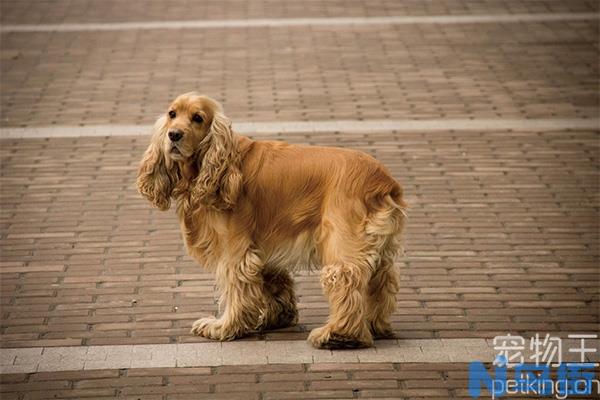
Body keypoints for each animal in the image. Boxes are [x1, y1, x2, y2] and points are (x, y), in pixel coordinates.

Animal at [138, 93, 406, 346]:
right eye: (172, 114)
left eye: (197, 118)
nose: (173, 135)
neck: (220, 164)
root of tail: (384, 182)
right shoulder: (262, 247)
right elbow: (273, 280)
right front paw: (276, 317)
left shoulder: (235, 250)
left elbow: (236, 288)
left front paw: (224, 327)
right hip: (380, 248)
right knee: (382, 283)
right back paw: (373, 326)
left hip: (342, 243)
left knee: (347, 282)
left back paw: (338, 335)